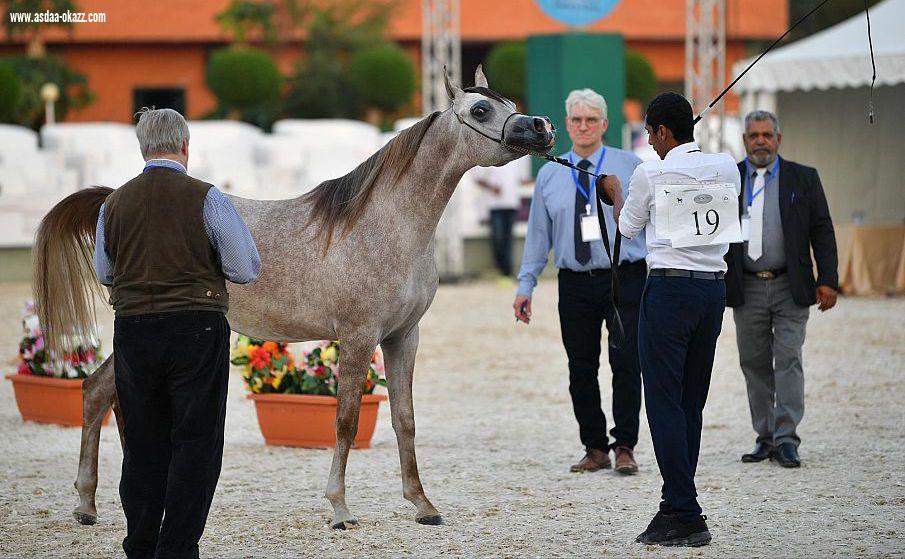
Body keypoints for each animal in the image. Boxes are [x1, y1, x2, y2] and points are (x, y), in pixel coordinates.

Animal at [31, 68, 556, 532]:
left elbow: (404, 420)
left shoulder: (404, 337)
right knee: (98, 393)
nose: (541, 128)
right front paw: (340, 509)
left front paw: (422, 505)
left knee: (100, 392)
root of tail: (110, 199)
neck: (387, 227)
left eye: (509, 104)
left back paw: (92, 503)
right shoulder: (359, 338)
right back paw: (86, 503)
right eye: (481, 110)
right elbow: (345, 422)